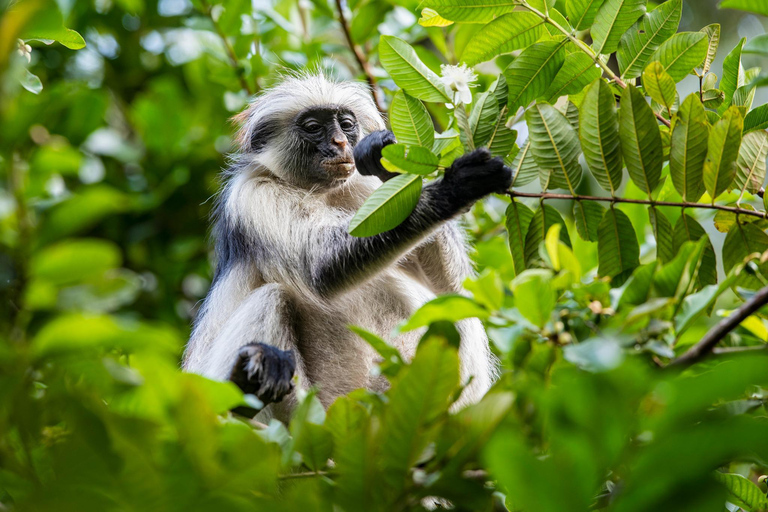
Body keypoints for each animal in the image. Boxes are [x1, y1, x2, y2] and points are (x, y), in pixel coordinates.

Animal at [183, 73, 512, 424]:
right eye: (314, 127)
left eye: (346, 124)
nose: (341, 143)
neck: (319, 191)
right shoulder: (252, 194)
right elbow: (320, 267)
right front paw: (457, 186)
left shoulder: (363, 187)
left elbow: (457, 290)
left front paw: (390, 160)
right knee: (270, 297)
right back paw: (247, 384)